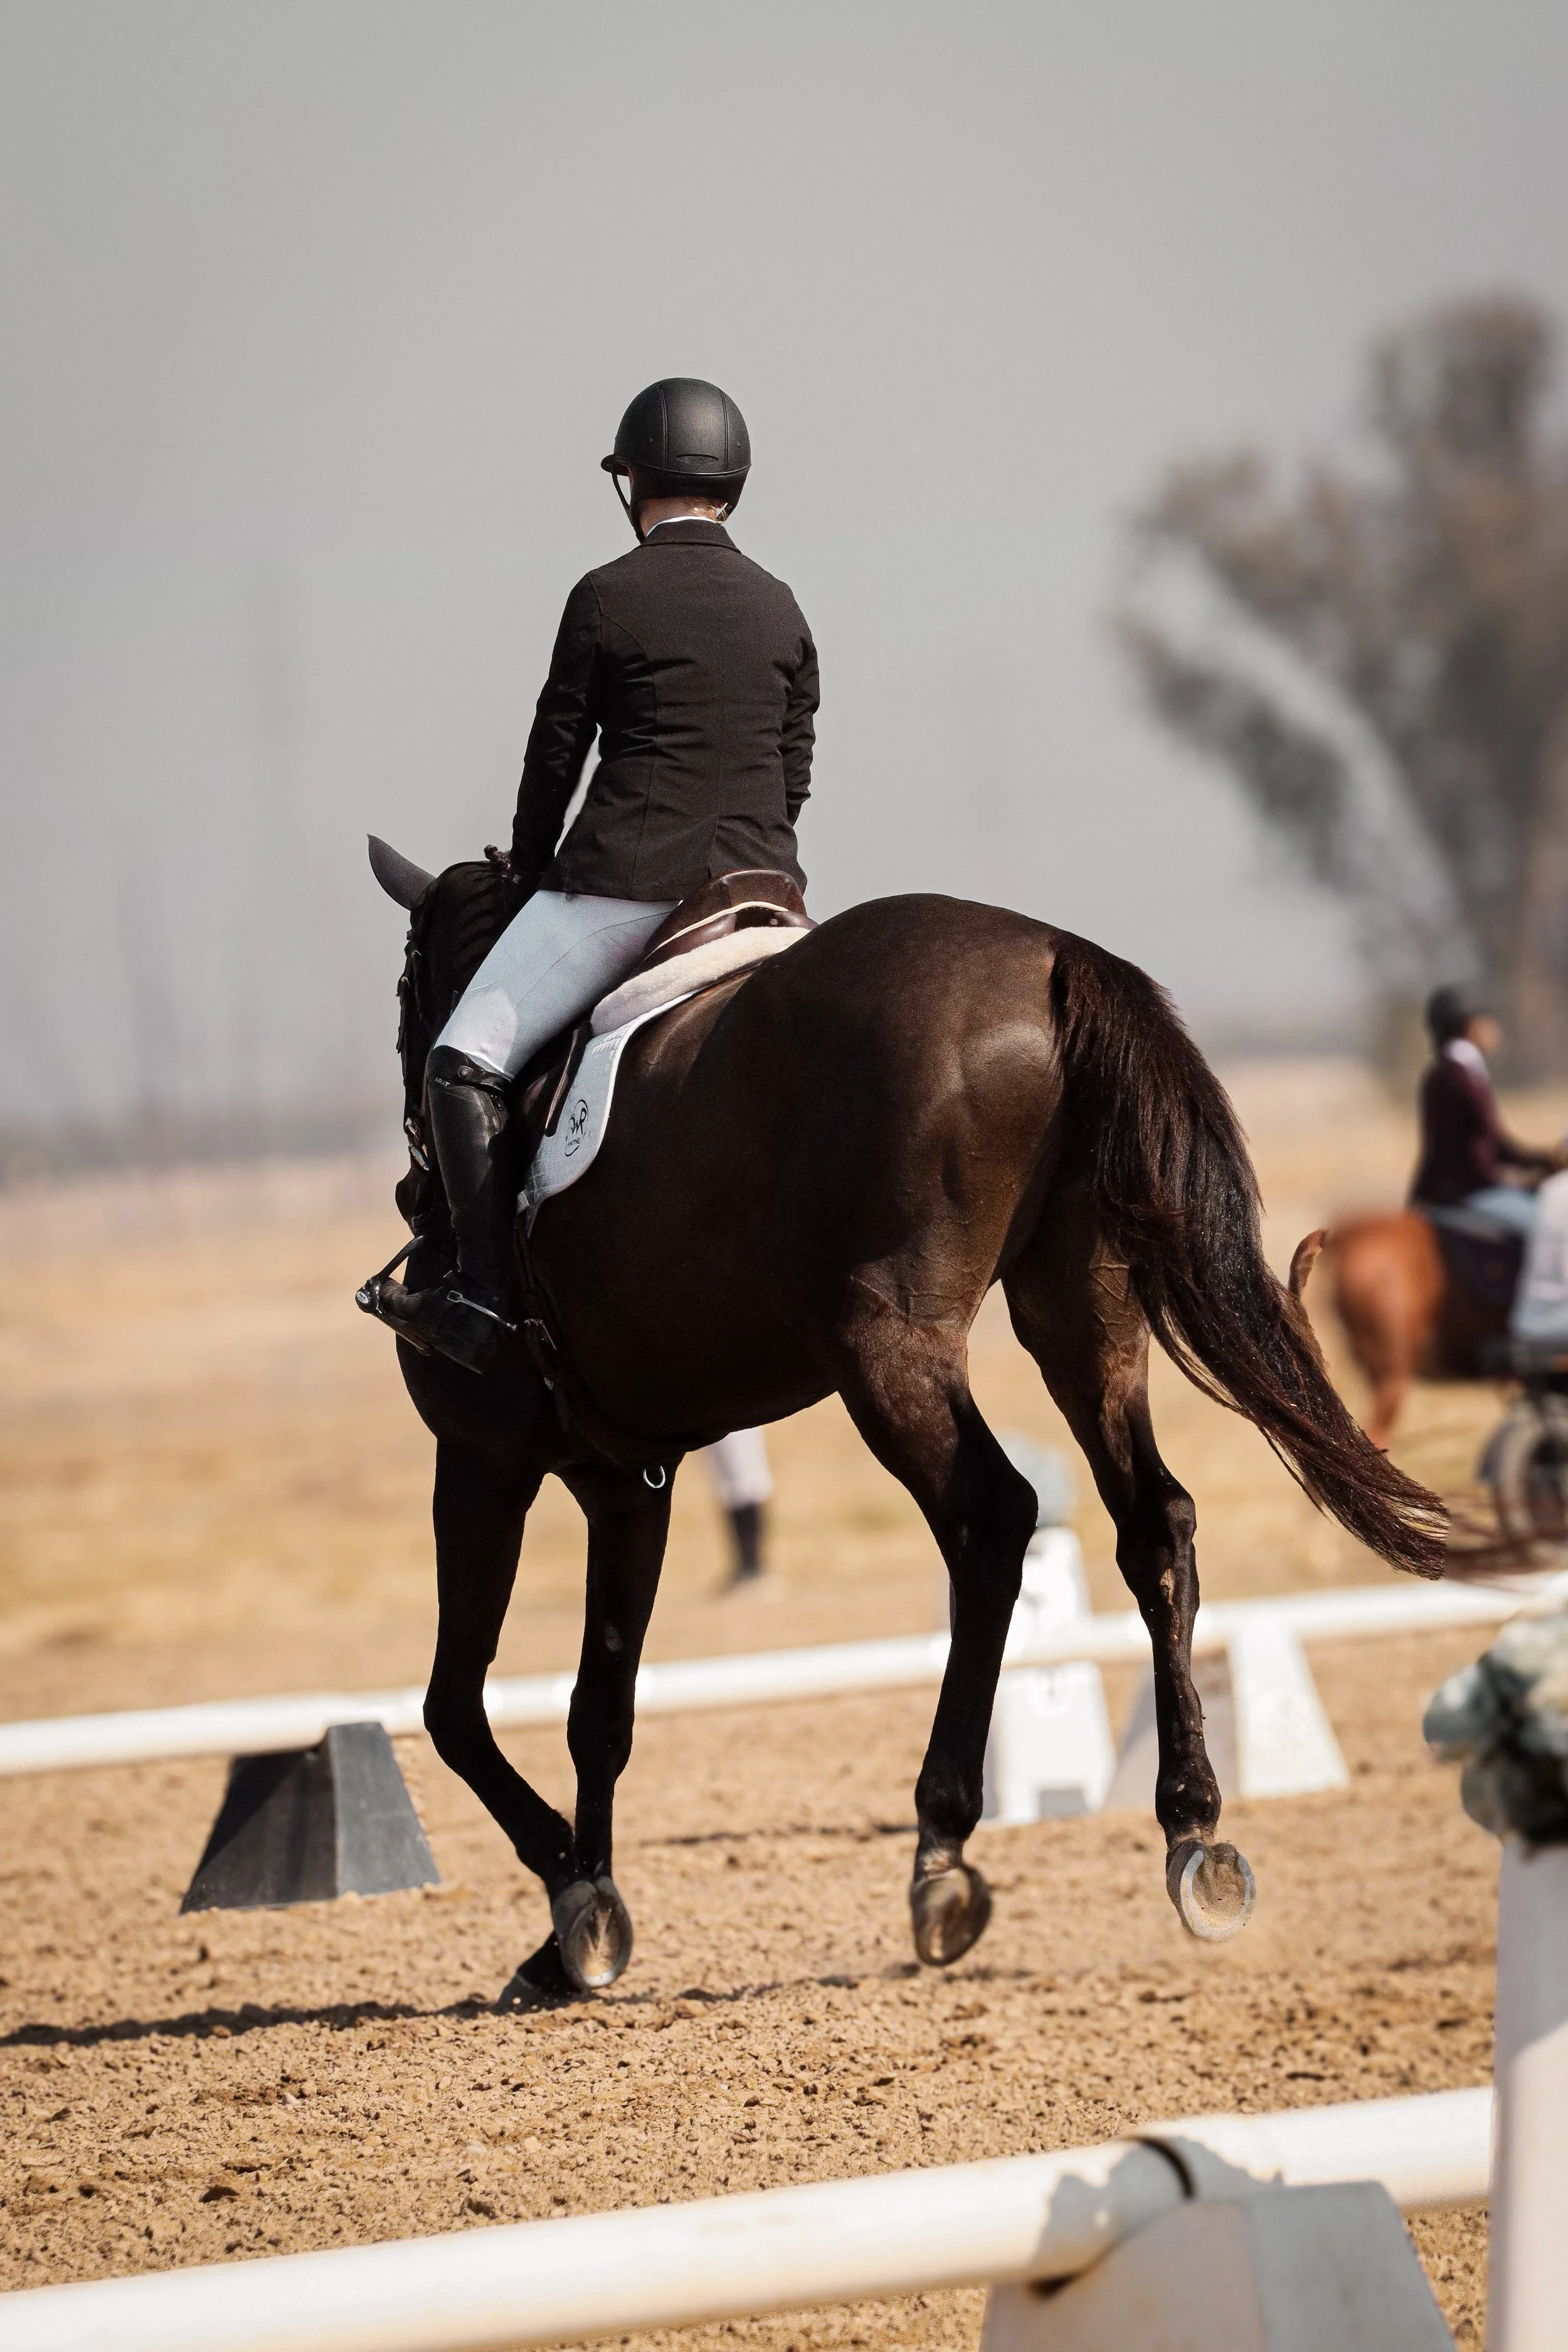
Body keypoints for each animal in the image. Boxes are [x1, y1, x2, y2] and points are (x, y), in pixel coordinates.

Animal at [367, 844, 1444, 2004]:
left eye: (407, 991)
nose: (413, 1191)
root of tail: (1056, 955)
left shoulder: (482, 1459)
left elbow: (453, 1706)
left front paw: (572, 1899)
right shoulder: (626, 1480)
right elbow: (599, 1707)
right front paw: (583, 1923)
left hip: (888, 1345)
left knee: (992, 1519)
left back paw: (943, 1853)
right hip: (1082, 1310)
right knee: (1153, 1521)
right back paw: (1193, 1834)